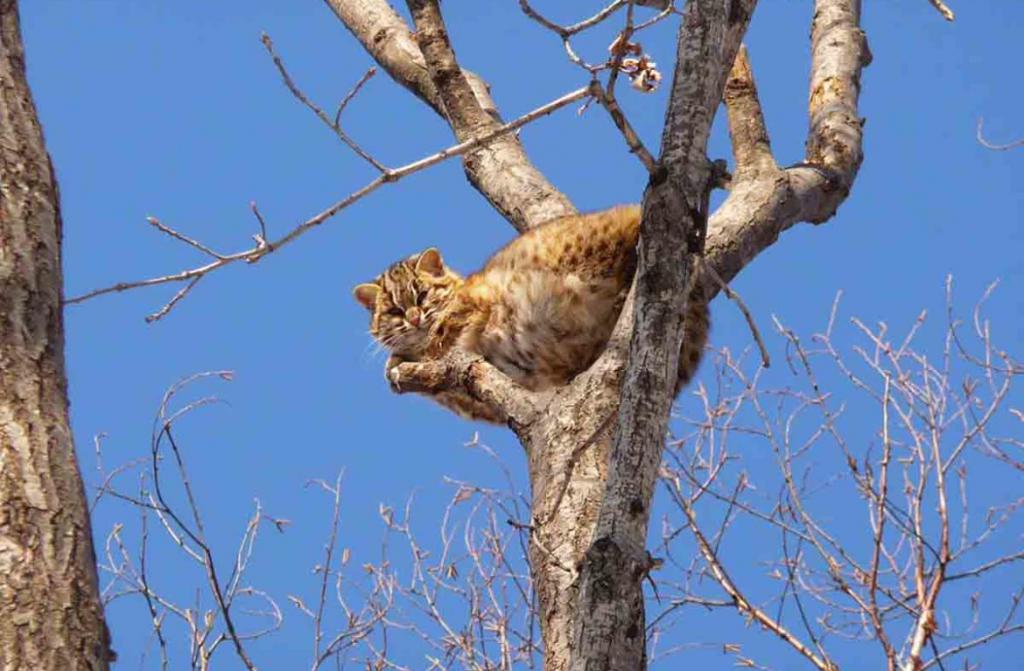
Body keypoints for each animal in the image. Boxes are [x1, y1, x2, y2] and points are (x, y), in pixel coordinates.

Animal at [352, 205, 704, 426]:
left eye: (422, 295)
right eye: (394, 310)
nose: (414, 318)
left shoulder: (476, 302)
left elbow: (443, 332)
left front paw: (412, 353)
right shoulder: (473, 400)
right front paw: (397, 362)